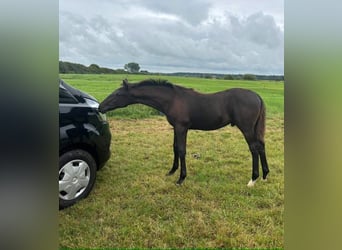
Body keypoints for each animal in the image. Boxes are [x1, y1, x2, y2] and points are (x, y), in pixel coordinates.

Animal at [99, 79, 270, 187]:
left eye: (118, 94)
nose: (100, 107)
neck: (172, 99)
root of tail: (257, 96)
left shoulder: (182, 127)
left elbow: (181, 150)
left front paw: (181, 179)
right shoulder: (176, 127)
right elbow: (175, 147)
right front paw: (171, 171)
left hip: (246, 128)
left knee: (254, 149)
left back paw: (253, 179)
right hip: (255, 129)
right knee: (261, 146)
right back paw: (265, 176)